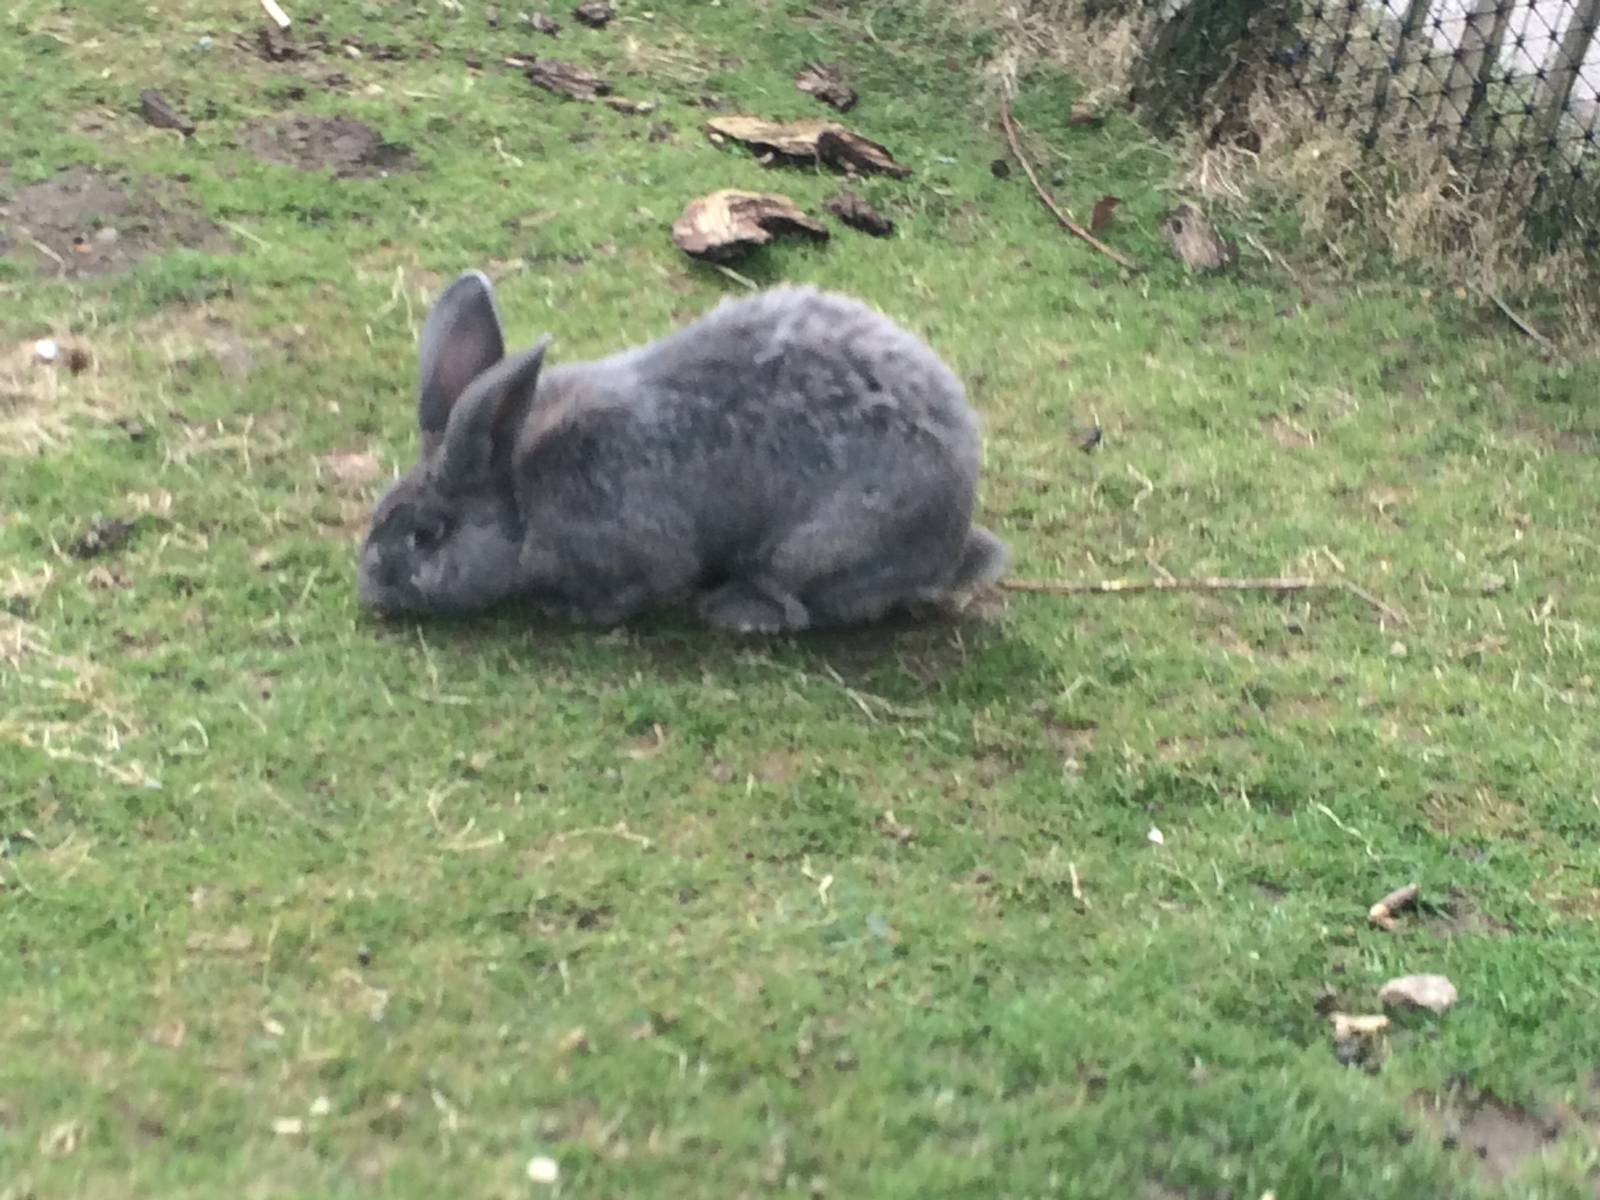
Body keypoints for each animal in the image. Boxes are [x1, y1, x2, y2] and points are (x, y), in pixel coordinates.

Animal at [356, 269, 1008, 634]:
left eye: (427, 536)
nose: (369, 587)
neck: (520, 496)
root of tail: (953, 539)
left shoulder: (642, 551)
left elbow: (637, 588)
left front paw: (570, 613)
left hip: (820, 545)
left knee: (802, 607)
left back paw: (734, 613)